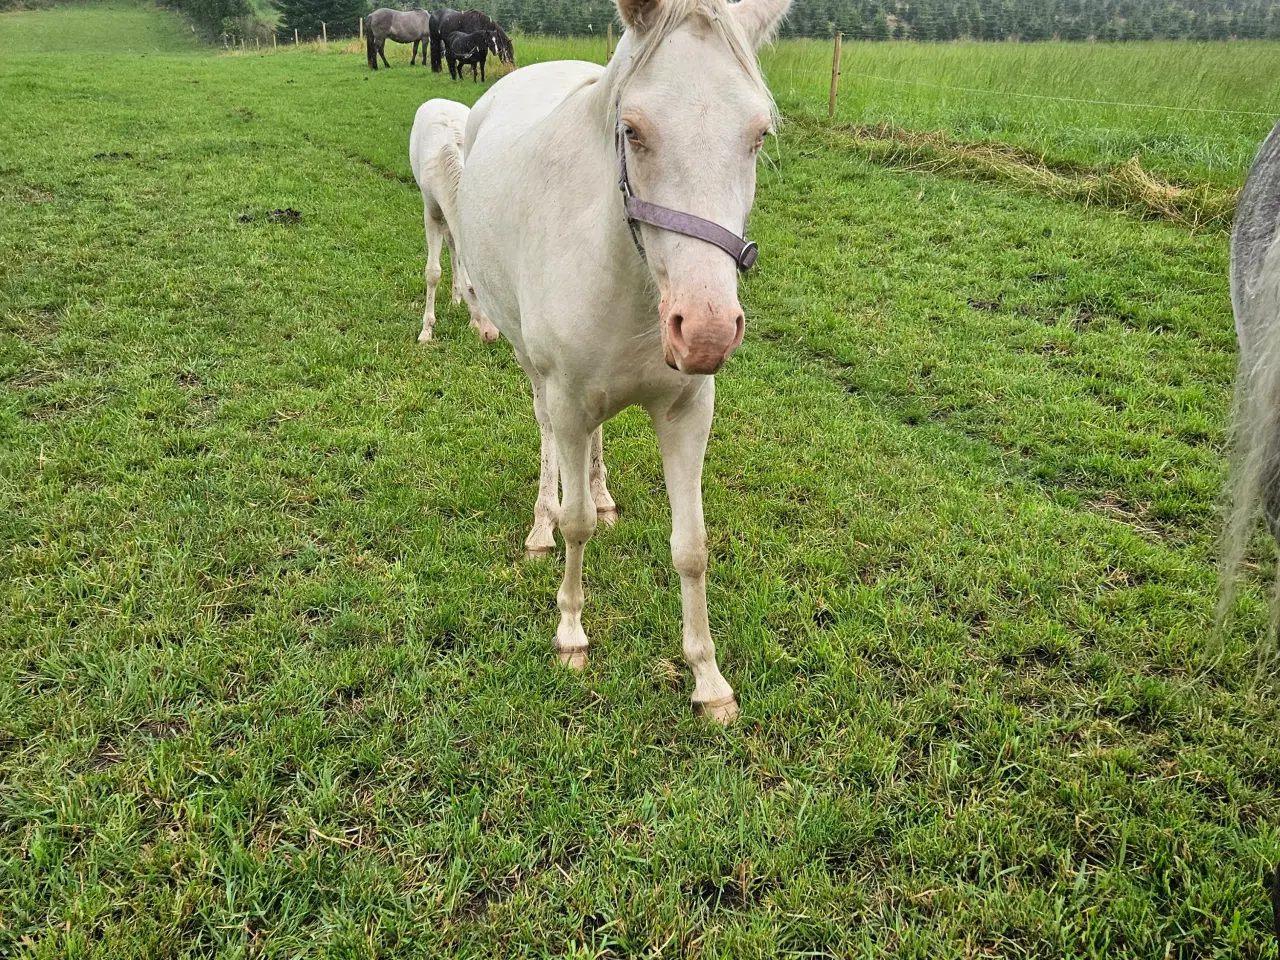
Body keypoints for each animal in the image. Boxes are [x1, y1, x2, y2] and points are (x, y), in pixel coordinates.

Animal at [407, 97, 496, 343]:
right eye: (473, 290)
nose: (492, 335)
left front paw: (471, 322)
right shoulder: (431, 210)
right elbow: (433, 272)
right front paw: (426, 332)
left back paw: (456, 300)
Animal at [455, 0, 783, 721]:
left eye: (757, 135)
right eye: (631, 130)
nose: (707, 332)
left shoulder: (688, 410)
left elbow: (691, 547)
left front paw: (708, 680)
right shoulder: (569, 396)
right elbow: (576, 525)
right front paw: (571, 633)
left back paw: (602, 495)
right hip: (536, 371)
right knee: (548, 436)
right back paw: (541, 525)